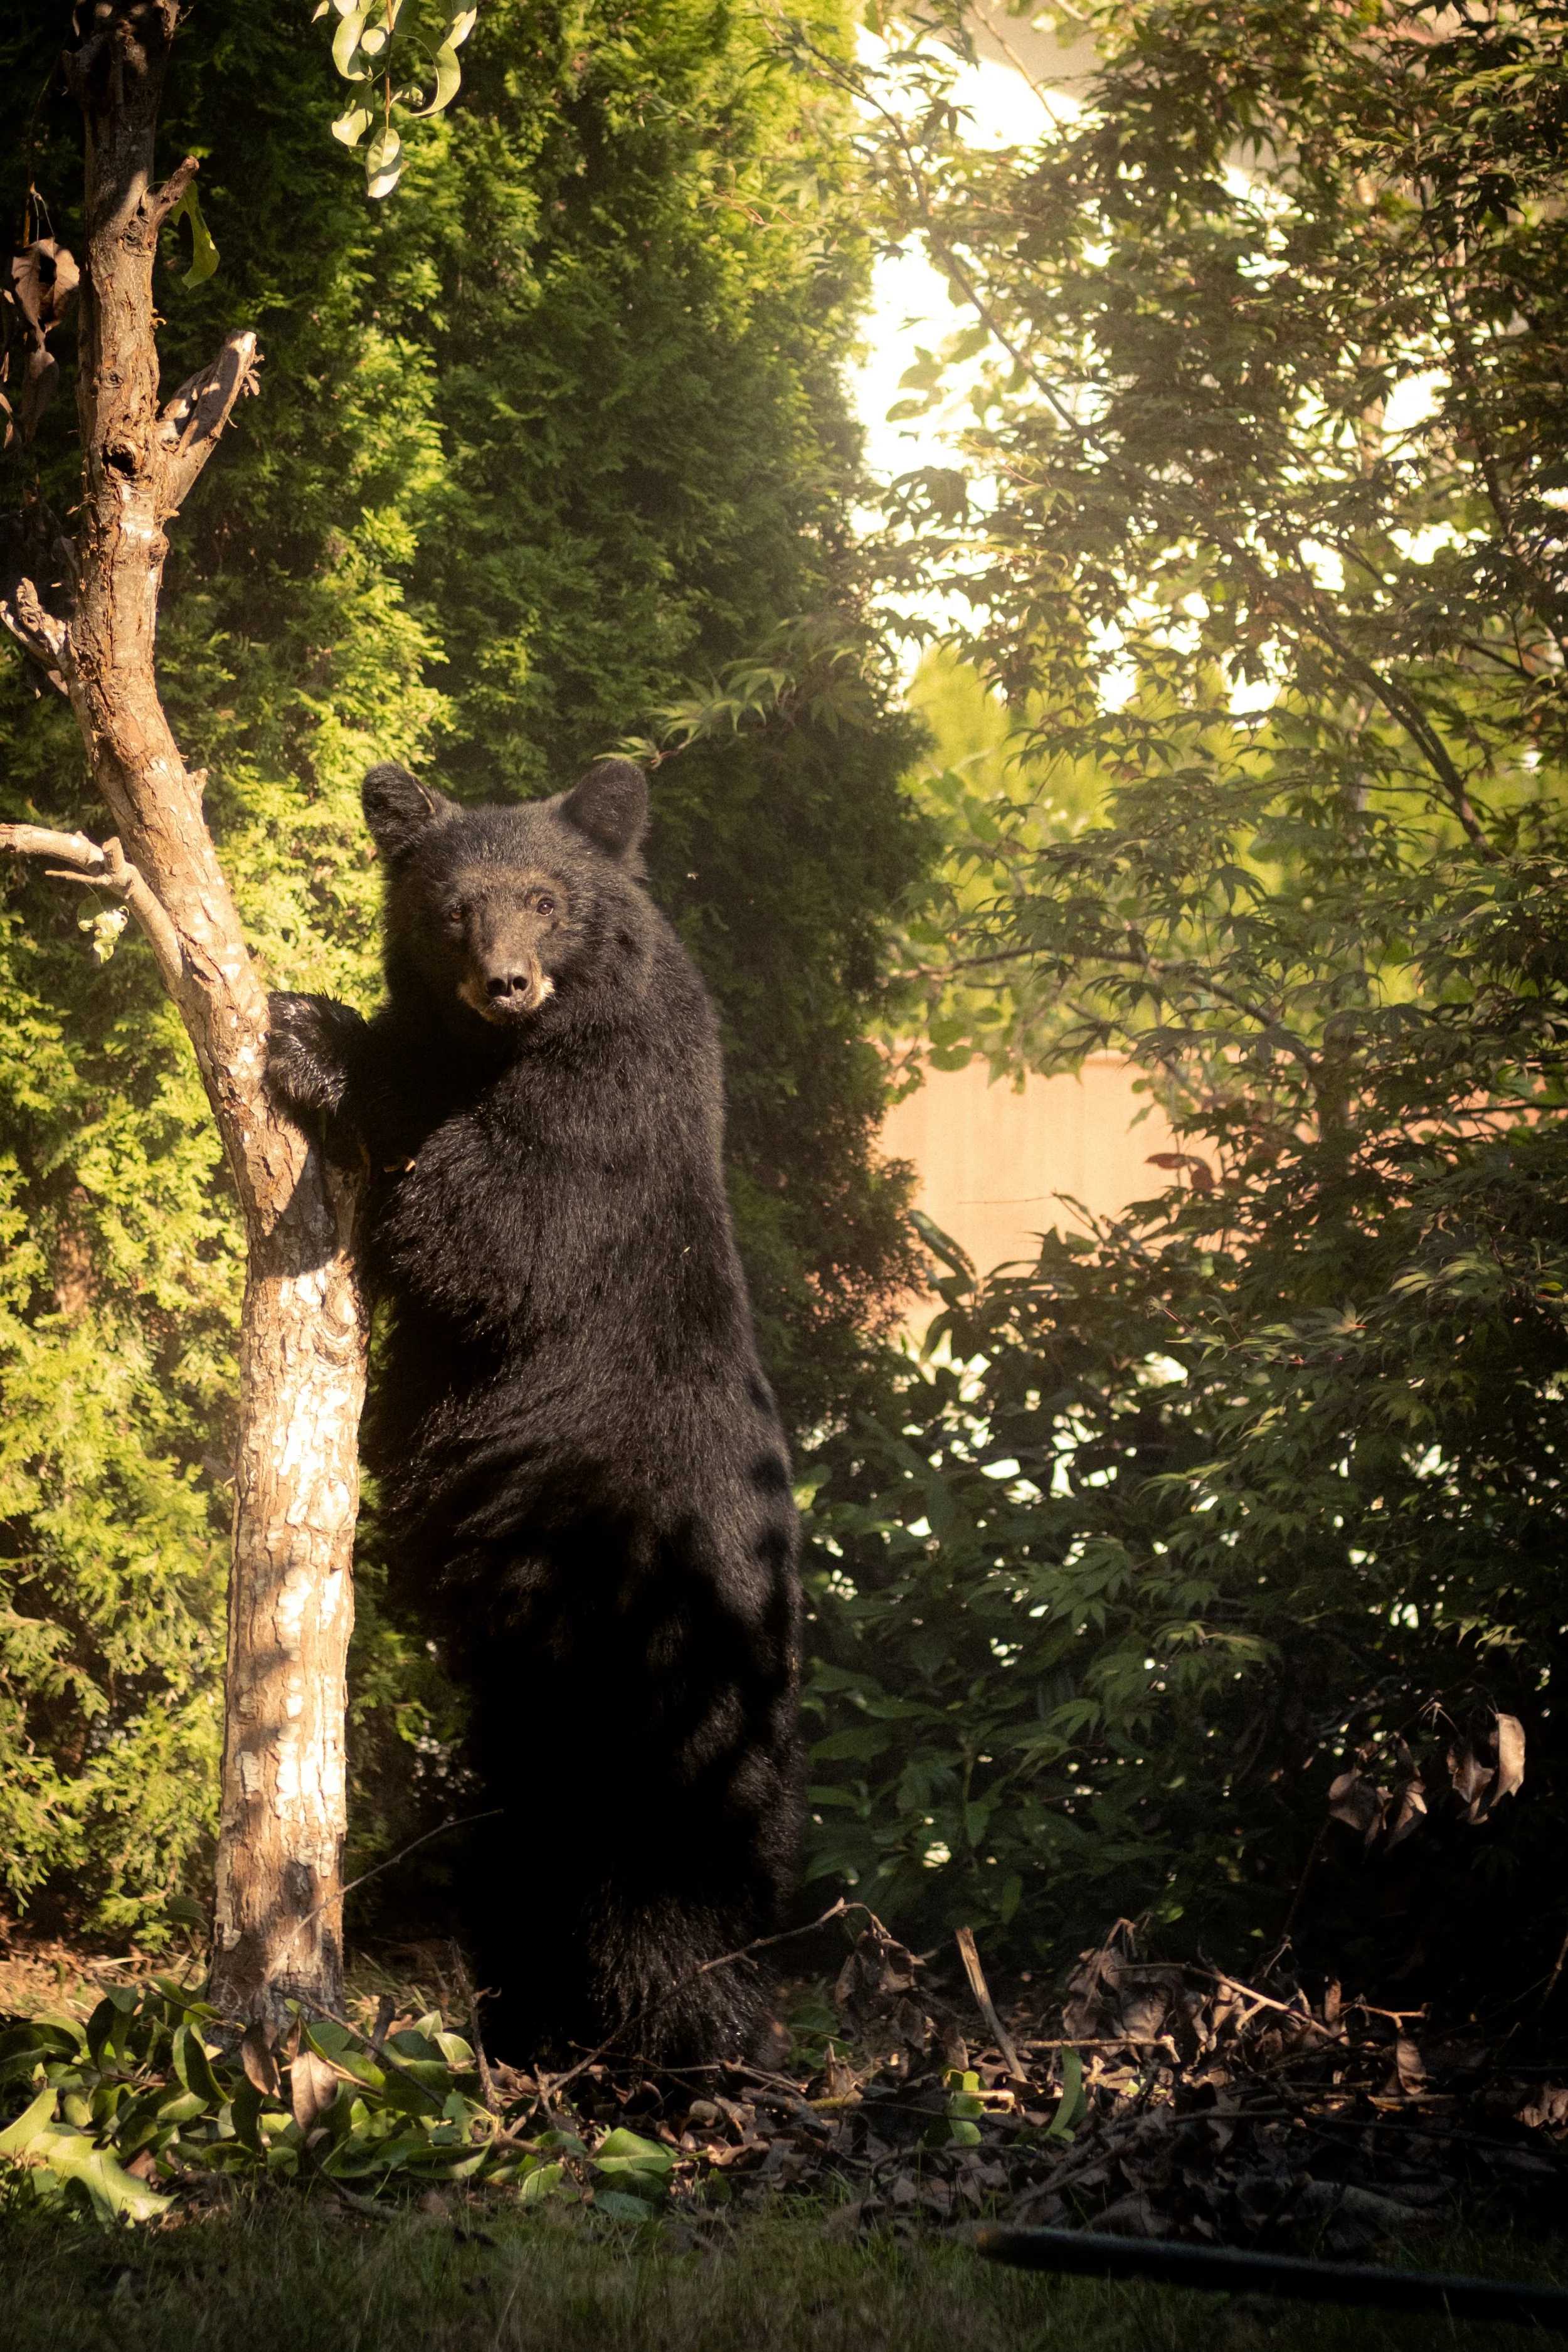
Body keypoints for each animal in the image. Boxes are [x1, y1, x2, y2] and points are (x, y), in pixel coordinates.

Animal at [266, 757, 803, 2065]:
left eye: (547, 900)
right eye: (456, 907)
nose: (504, 981)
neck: (518, 1043)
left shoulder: (606, 1118)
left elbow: (488, 1218)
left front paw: (316, 1032)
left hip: (658, 1668)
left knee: (669, 1886)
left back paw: (694, 2050)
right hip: (532, 1729)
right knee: (525, 1868)